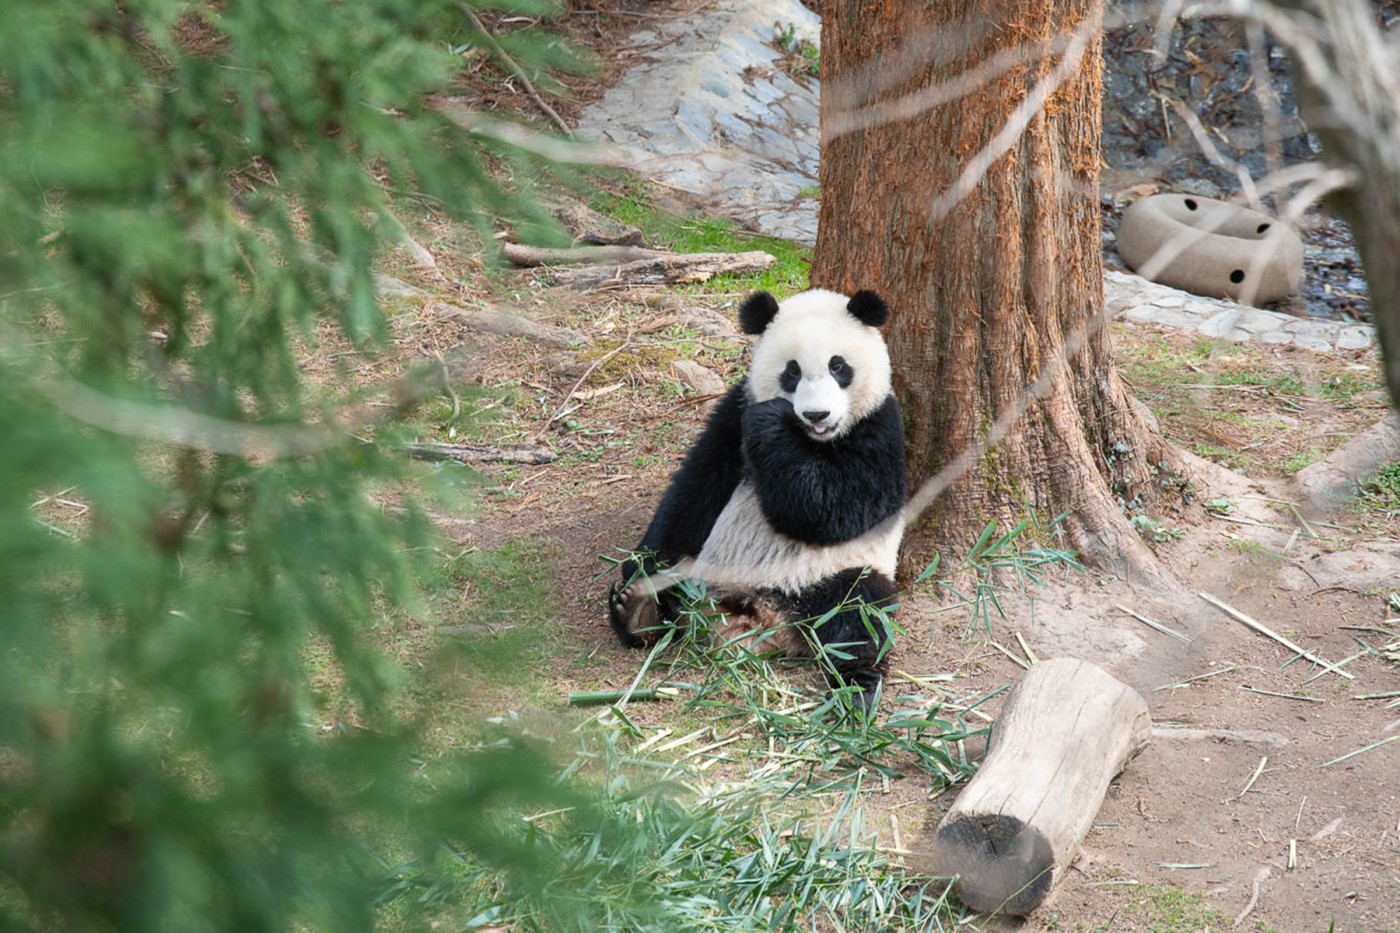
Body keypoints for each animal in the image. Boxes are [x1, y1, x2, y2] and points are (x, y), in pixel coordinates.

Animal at [610, 287, 907, 708]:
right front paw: (639, 565)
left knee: (858, 613)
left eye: (838, 367)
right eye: (792, 371)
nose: (817, 414)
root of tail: (762, 617)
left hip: (833, 575)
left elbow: (840, 509)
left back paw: (856, 688)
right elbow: (695, 489)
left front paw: (772, 423)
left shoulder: (880, 427)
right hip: (697, 572)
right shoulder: (734, 411)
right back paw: (638, 610)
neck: (812, 440)